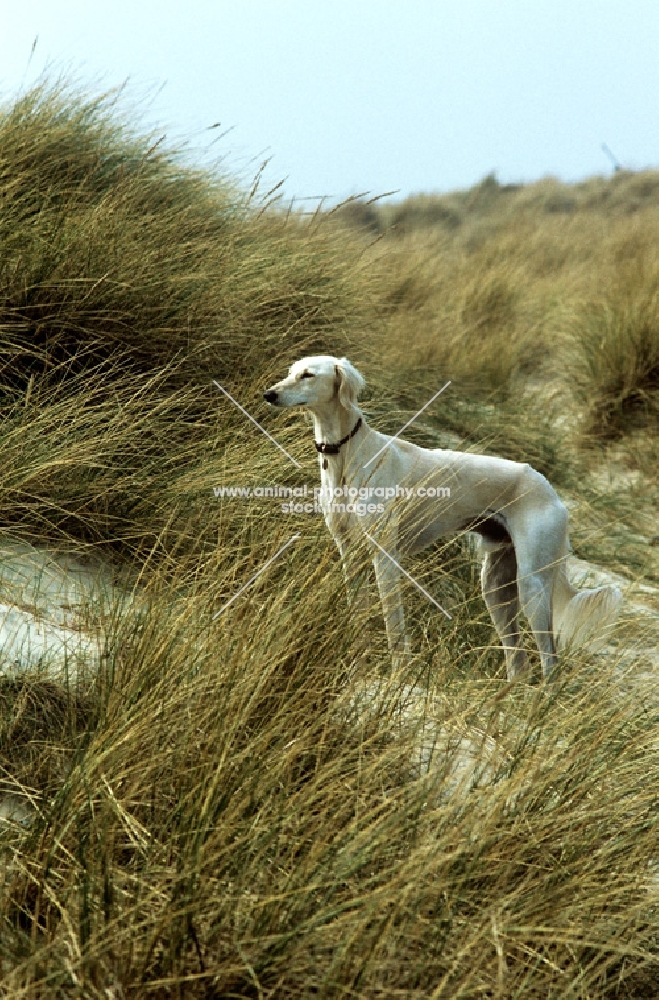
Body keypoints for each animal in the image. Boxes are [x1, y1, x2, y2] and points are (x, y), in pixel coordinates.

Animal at [264, 356, 624, 676]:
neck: (348, 455)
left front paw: (398, 675)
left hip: (532, 585)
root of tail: (553, 493)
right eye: (291, 372)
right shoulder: (348, 550)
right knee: (518, 662)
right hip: (496, 587)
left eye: (308, 375)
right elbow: (358, 611)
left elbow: (394, 624)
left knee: (550, 662)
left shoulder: (385, 556)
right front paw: (357, 663)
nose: (269, 394)